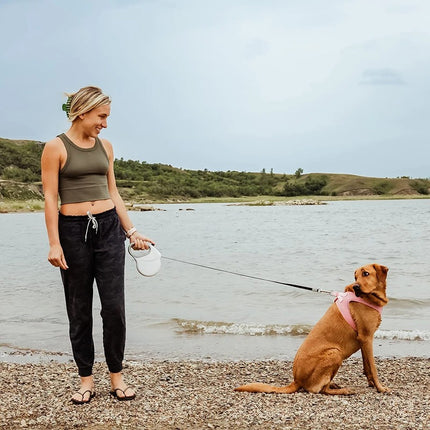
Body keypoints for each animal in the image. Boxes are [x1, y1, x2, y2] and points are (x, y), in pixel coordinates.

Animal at [235, 264, 390, 394]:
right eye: (356, 277)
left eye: (365, 273)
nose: (356, 287)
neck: (369, 298)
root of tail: (297, 380)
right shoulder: (366, 338)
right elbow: (373, 368)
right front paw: (380, 387)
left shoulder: (363, 340)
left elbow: (367, 366)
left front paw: (371, 384)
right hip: (335, 353)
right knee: (320, 390)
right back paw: (343, 390)